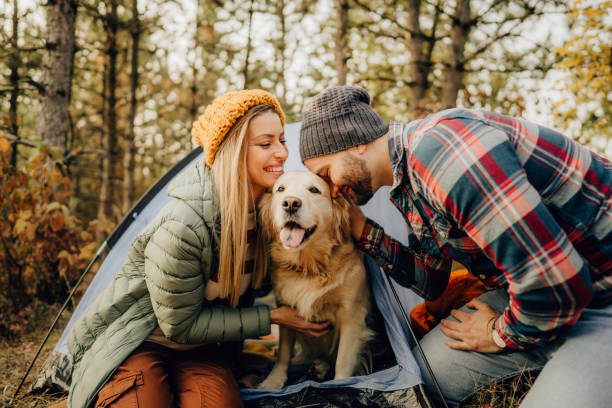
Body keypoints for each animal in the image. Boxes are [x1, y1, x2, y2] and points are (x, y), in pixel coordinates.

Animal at [256, 171, 376, 390]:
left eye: (314, 190)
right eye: (280, 189)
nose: (290, 203)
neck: (310, 267)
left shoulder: (352, 315)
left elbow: (343, 361)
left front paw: (340, 386)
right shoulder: (285, 310)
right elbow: (284, 354)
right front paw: (273, 381)